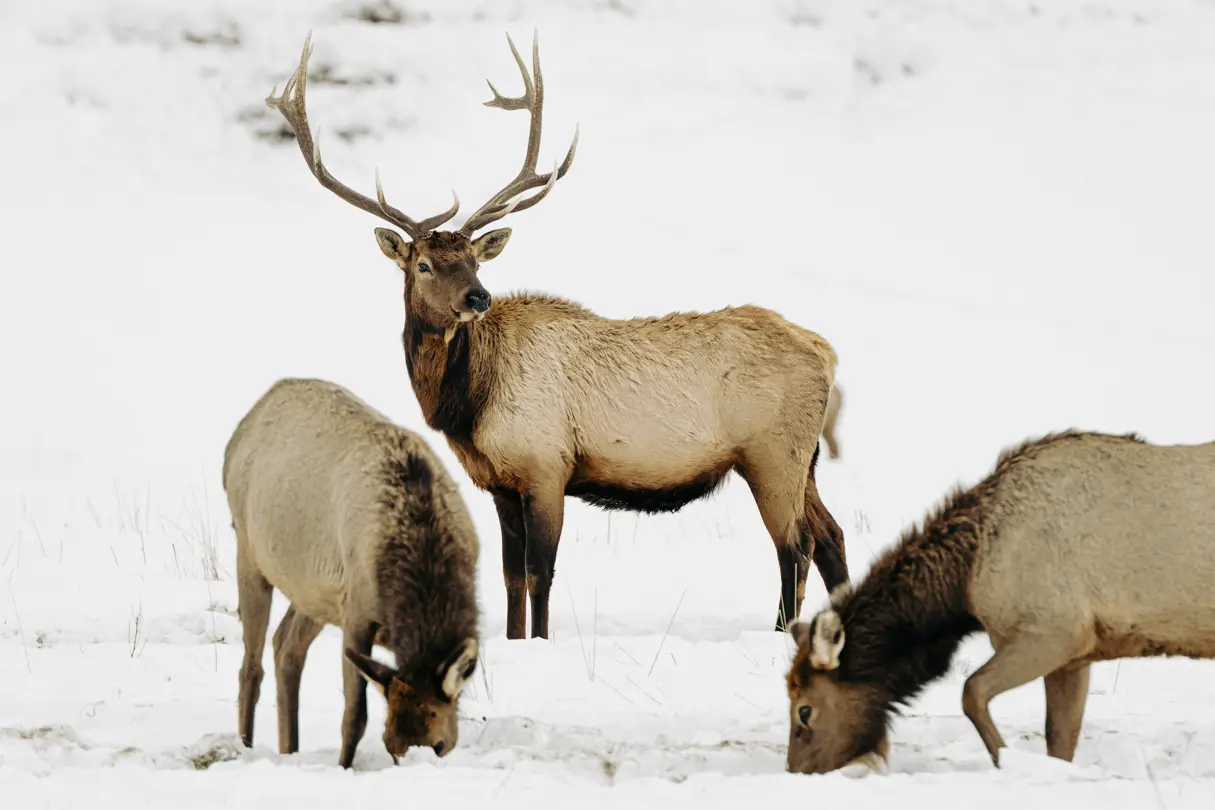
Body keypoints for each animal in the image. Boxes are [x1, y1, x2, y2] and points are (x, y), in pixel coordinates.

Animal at [223, 377, 481, 769]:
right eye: (390, 745)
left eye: (440, 745)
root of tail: (236, 438)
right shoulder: (357, 613)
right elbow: (355, 715)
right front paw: (344, 767)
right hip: (250, 554)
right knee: (250, 667)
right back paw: (246, 748)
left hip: (313, 593)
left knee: (286, 646)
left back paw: (290, 747)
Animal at [265, 30, 849, 640]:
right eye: (423, 264)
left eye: (474, 259)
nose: (478, 297)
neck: (466, 403)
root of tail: (826, 352)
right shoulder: (499, 482)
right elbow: (509, 578)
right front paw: (513, 639)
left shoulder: (547, 465)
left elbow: (540, 572)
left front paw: (540, 641)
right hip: (802, 460)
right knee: (830, 537)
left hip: (772, 453)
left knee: (794, 548)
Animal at [784, 430, 1215, 775]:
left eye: (804, 709)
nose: (796, 771)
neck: (964, 579)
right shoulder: (1076, 655)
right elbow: (1060, 741)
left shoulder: (1054, 632)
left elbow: (971, 692)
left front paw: (1006, 760)